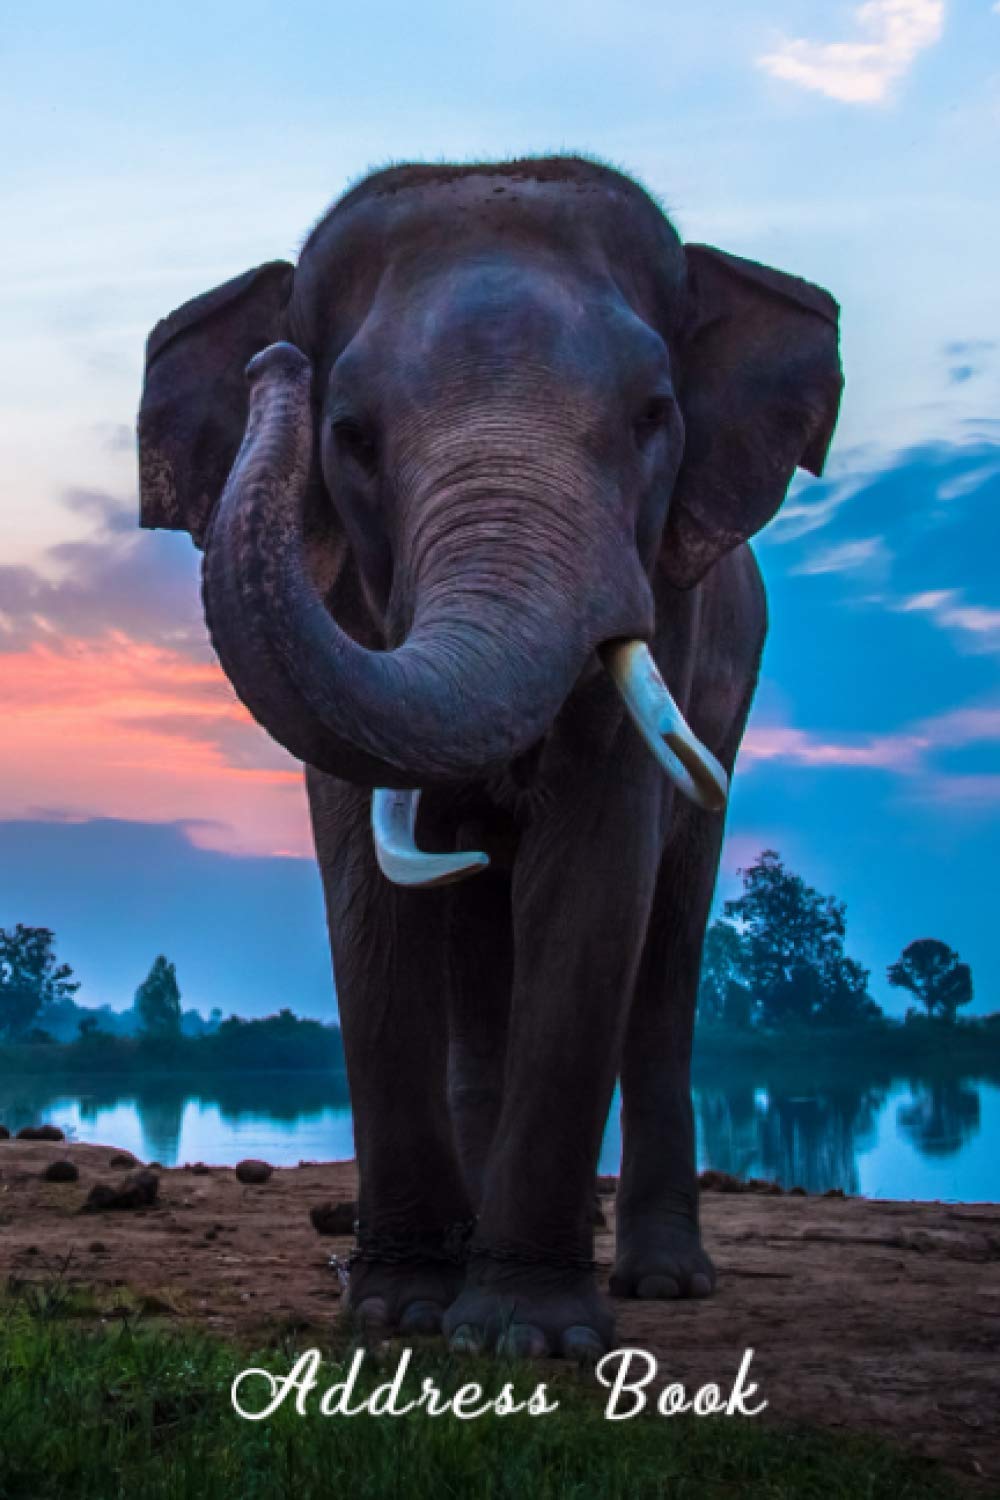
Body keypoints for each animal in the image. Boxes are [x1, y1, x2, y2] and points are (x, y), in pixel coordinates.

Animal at [137, 156, 842, 1359]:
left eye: (656, 416)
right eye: (350, 434)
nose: (276, 360)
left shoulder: (666, 605)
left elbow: (598, 871)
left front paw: (529, 1336)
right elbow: (364, 880)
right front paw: (397, 1309)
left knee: (669, 944)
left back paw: (663, 1280)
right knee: (475, 937)